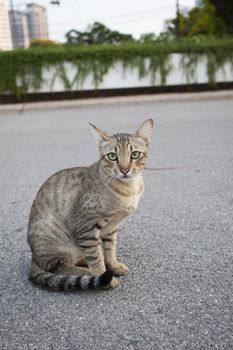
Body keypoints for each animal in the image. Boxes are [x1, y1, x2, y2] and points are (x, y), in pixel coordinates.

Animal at [26, 119, 153, 292]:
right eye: (112, 156)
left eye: (135, 154)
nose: (124, 170)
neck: (128, 190)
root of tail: (34, 257)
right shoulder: (85, 229)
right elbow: (96, 258)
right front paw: (103, 276)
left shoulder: (111, 228)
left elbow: (110, 249)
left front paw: (113, 265)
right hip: (59, 244)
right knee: (60, 267)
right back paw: (89, 273)